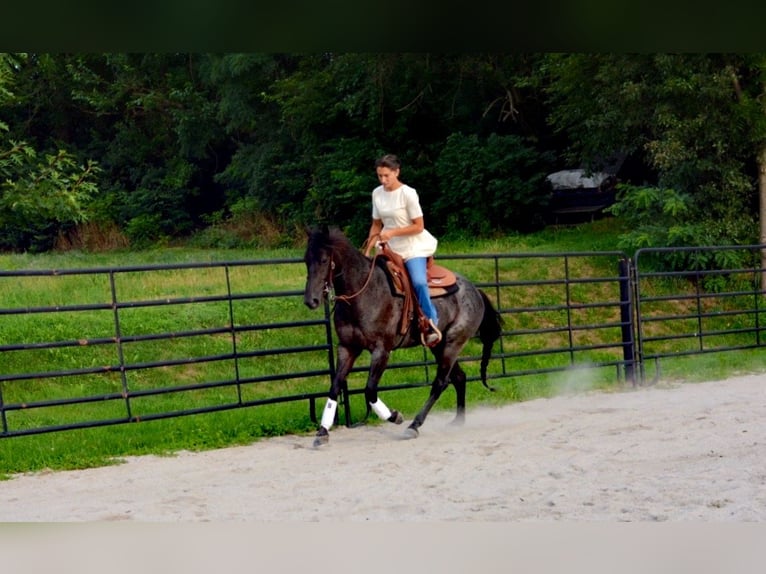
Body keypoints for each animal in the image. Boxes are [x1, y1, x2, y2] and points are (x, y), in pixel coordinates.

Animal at [304, 226, 508, 450]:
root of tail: (476, 291)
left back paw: (414, 425)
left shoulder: (381, 351)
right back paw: (458, 421)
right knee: (459, 377)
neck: (363, 293)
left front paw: (395, 416)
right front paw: (322, 432)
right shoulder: (347, 348)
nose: (311, 300)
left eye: (324, 260)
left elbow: (370, 390)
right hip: (439, 345)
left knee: (440, 382)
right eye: (306, 260)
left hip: (453, 343)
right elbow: (334, 387)